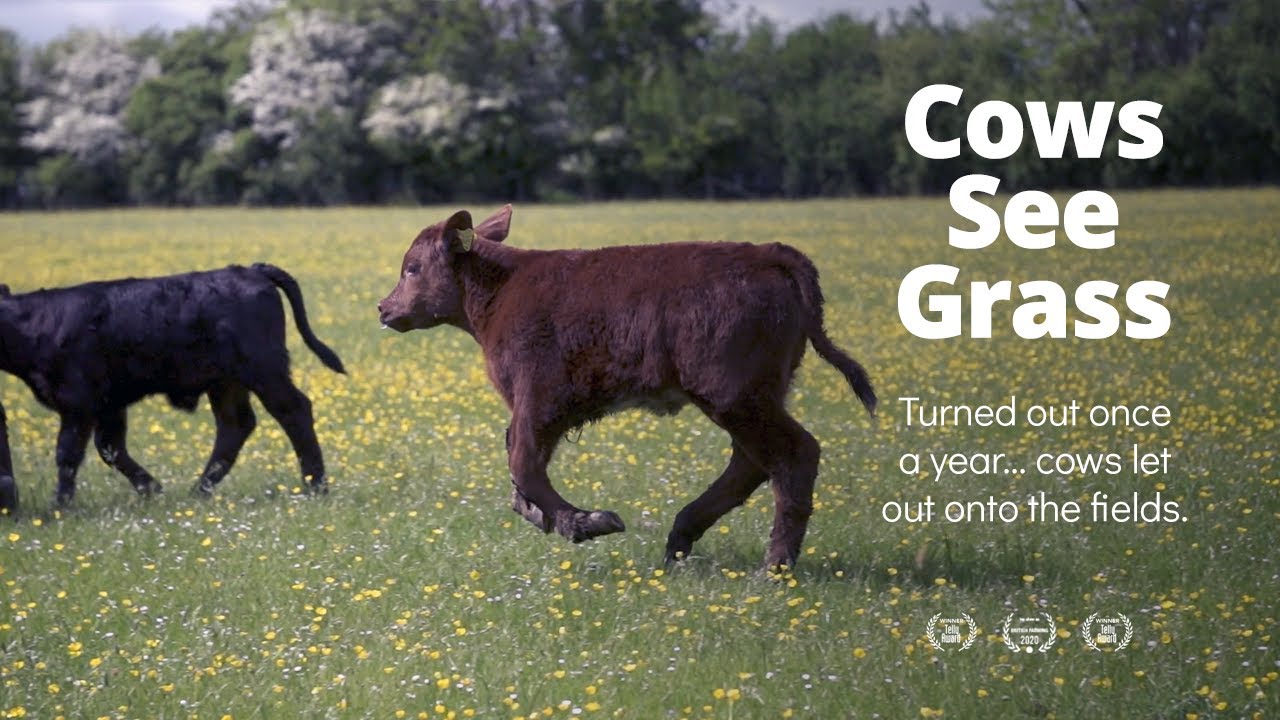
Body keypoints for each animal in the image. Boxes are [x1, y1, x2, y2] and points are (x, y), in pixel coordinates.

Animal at [0, 264, 345, 513]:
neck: (38, 323)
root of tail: (250, 269)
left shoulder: (78, 403)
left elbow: (68, 454)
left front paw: (59, 507)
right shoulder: (110, 404)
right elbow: (111, 448)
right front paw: (152, 489)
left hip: (264, 370)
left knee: (294, 411)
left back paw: (315, 485)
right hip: (226, 382)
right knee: (235, 426)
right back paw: (199, 491)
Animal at [378, 205, 876, 570]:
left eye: (413, 268)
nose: (384, 307)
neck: (502, 288)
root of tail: (769, 253)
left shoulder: (538, 399)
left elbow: (523, 462)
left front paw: (586, 522)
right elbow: (519, 472)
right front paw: (551, 518)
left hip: (734, 396)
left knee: (792, 454)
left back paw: (773, 567)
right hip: (754, 397)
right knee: (752, 462)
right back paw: (680, 540)